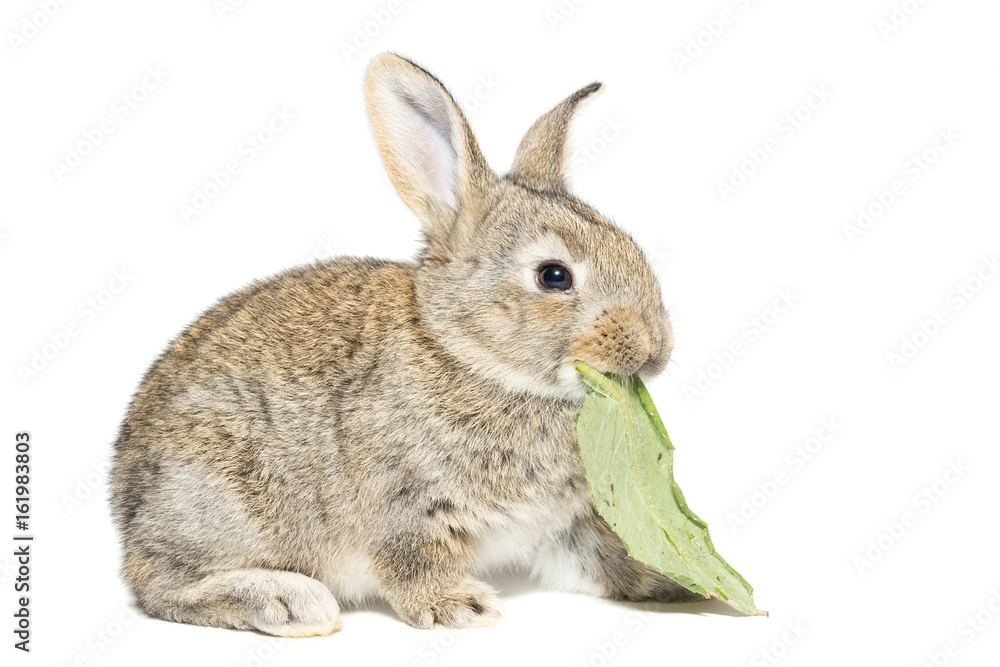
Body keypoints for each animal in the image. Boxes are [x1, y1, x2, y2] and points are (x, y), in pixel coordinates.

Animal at [110, 52, 699, 638]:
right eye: (554, 276)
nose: (656, 349)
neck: (469, 356)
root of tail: (124, 508)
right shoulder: (408, 506)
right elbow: (412, 564)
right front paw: (460, 607)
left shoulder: (564, 524)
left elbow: (602, 556)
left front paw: (676, 580)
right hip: (217, 494)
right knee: (159, 584)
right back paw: (290, 602)